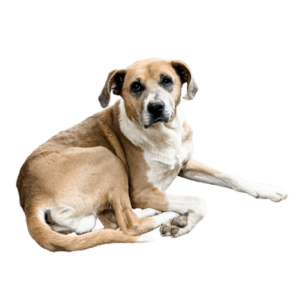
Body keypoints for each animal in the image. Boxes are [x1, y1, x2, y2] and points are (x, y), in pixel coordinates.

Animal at [14, 56, 290, 253]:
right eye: (135, 87)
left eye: (167, 80)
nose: (156, 107)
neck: (164, 134)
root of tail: (30, 198)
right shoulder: (141, 191)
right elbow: (200, 201)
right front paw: (183, 225)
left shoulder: (186, 163)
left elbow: (230, 176)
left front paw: (267, 189)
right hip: (107, 157)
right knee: (127, 223)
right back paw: (168, 215)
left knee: (101, 221)